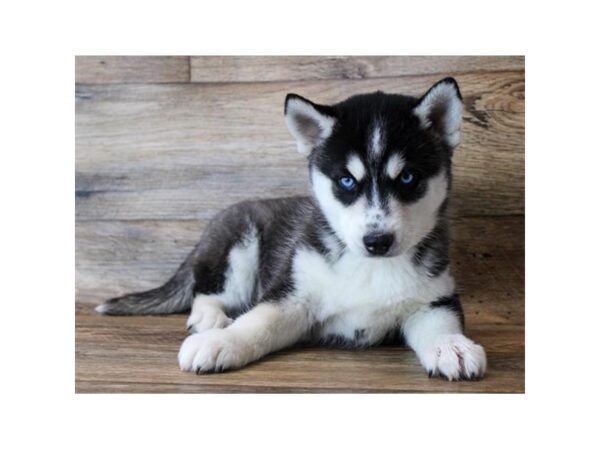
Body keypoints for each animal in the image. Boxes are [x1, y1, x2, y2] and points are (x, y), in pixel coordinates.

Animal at [96, 79, 486, 382]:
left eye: (407, 178)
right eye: (346, 181)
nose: (377, 241)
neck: (369, 268)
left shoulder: (434, 298)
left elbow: (441, 323)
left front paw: (452, 346)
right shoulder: (292, 293)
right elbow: (257, 322)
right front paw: (221, 342)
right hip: (238, 243)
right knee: (208, 290)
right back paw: (210, 319)